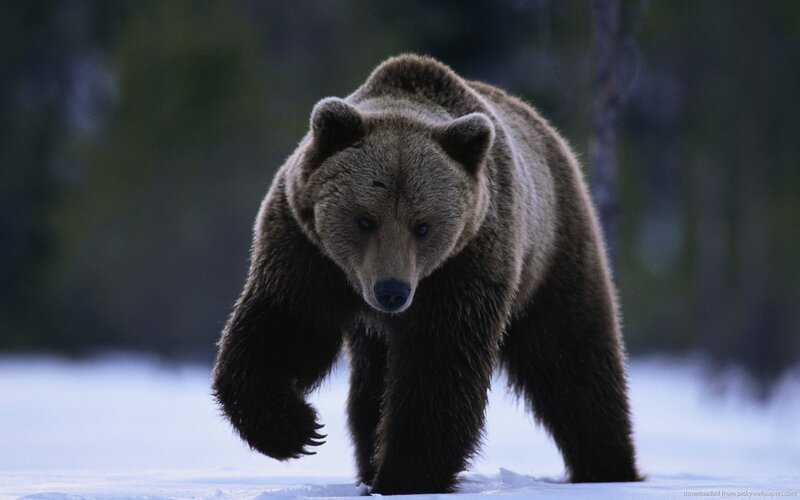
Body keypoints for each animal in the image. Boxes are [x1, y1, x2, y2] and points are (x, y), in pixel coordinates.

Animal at [212, 54, 640, 494]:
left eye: (423, 225)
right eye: (365, 219)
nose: (392, 291)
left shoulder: (465, 266)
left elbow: (439, 369)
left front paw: (403, 476)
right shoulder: (306, 252)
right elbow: (283, 328)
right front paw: (297, 429)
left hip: (553, 255)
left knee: (572, 361)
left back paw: (607, 467)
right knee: (370, 390)